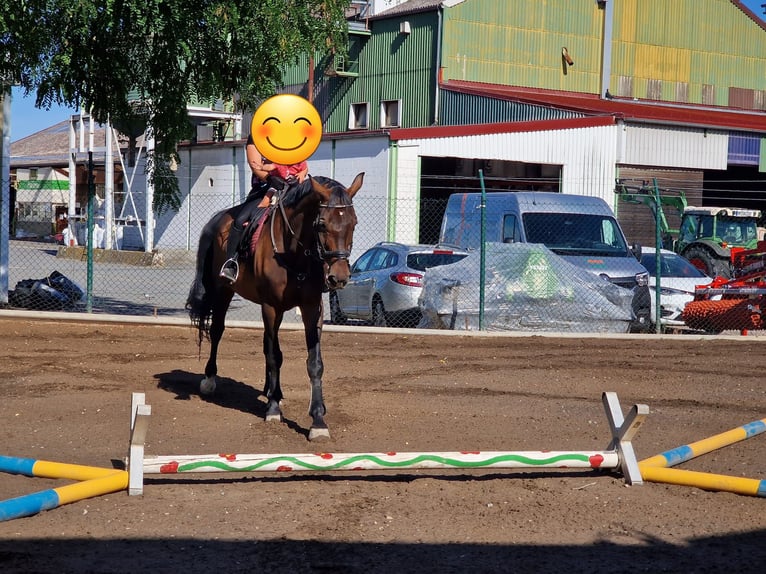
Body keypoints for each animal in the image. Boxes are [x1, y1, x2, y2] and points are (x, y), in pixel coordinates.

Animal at [188, 173, 364, 444]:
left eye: (353, 223)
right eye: (322, 224)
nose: (339, 277)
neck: (294, 253)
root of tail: (220, 218)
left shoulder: (312, 308)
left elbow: (314, 363)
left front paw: (318, 420)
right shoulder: (271, 307)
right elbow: (275, 356)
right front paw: (272, 409)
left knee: (264, 343)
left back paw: (272, 391)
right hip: (224, 290)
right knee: (218, 331)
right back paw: (210, 379)